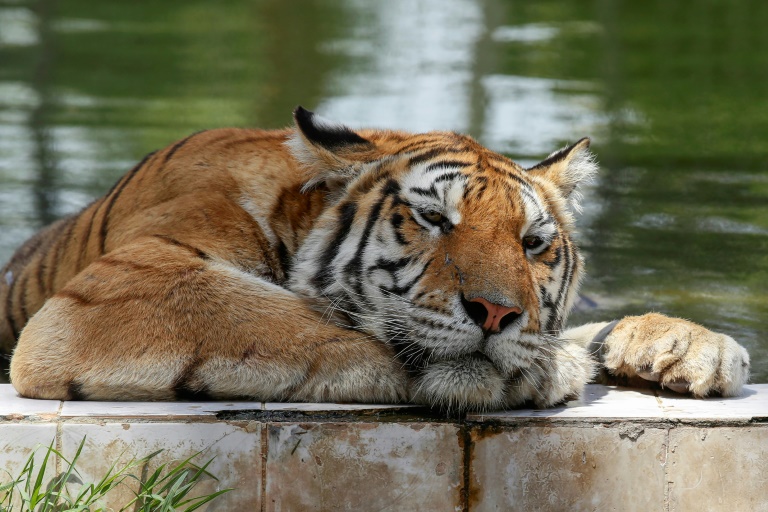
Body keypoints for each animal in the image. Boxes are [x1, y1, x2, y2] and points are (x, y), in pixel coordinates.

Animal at [0, 108, 748, 412]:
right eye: (433, 219)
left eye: (532, 244)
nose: (497, 312)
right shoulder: (124, 288)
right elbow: (295, 327)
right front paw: (542, 371)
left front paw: (695, 347)